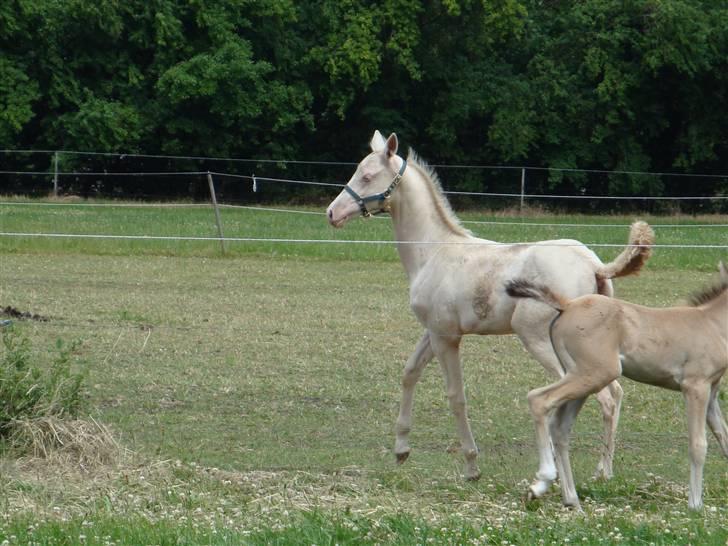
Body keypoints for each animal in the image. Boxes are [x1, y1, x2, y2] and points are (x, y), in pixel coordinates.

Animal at [326, 130, 656, 478]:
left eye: (367, 176)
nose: (332, 213)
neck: (434, 250)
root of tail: (593, 264)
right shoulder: (433, 331)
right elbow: (409, 373)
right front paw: (401, 449)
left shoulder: (446, 338)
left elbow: (456, 395)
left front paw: (471, 464)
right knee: (614, 392)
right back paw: (602, 469)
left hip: (541, 340)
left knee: (601, 396)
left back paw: (591, 469)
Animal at [506, 262, 728, 508]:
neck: (712, 323)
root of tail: (567, 305)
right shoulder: (695, 386)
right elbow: (698, 445)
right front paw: (695, 505)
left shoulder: (711, 393)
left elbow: (724, 439)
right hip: (596, 373)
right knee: (538, 399)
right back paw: (543, 482)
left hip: (581, 378)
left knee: (560, 427)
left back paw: (571, 500)